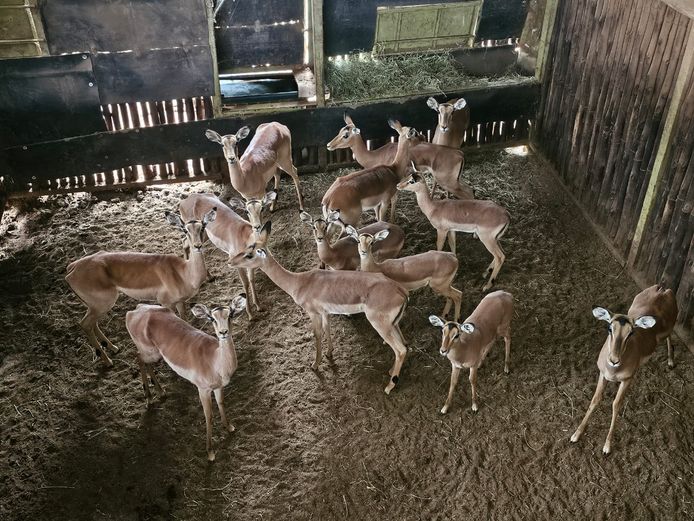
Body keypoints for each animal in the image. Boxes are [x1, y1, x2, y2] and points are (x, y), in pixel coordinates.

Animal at [65, 208, 216, 367]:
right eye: (185, 230)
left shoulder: (180, 302)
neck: (184, 272)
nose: (198, 246)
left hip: (95, 307)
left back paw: (113, 348)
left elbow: (184, 321)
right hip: (102, 305)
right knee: (85, 324)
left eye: (203, 227)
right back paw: (108, 361)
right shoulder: (166, 304)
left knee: (92, 323)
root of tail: (72, 268)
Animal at [125, 294, 247, 461]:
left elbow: (222, 404)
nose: (223, 332)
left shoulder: (218, 387)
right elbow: (208, 416)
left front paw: (229, 427)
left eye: (231, 314)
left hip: (154, 354)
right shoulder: (203, 390)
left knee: (144, 362)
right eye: (212, 318)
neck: (215, 361)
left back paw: (161, 392)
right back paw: (149, 398)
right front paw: (210, 452)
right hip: (149, 352)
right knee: (138, 358)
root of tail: (135, 311)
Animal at [228, 221, 410, 394]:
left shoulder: (313, 313)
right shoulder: (325, 313)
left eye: (249, 254)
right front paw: (329, 353)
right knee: (404, 345)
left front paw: (315, 364)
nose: (230, 262)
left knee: (400, 349)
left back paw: (389, 386)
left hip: (380, 325)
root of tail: (400, 290)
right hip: (392, 325)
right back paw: (390, 372)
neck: (299, 282)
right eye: (247, 247)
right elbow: (327, 329)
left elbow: (317, 334)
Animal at [326, 113, 473, 199]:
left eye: (346, 135)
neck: (374, 155)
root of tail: (459, 153)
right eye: (340, 131)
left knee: (469, 193)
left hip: (448, 182)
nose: (328, 145)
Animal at [570, 285, 678, 454]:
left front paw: (607, 446)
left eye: (631, 332)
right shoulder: (602, 374)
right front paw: (576, 434)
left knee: (670, 336)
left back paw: (671, 361)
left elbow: (616, 405)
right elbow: (595, 400)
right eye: (609, 328)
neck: (614, 371)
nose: (614, 360)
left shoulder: (627, 380)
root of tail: (662, 289)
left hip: (669, 329)